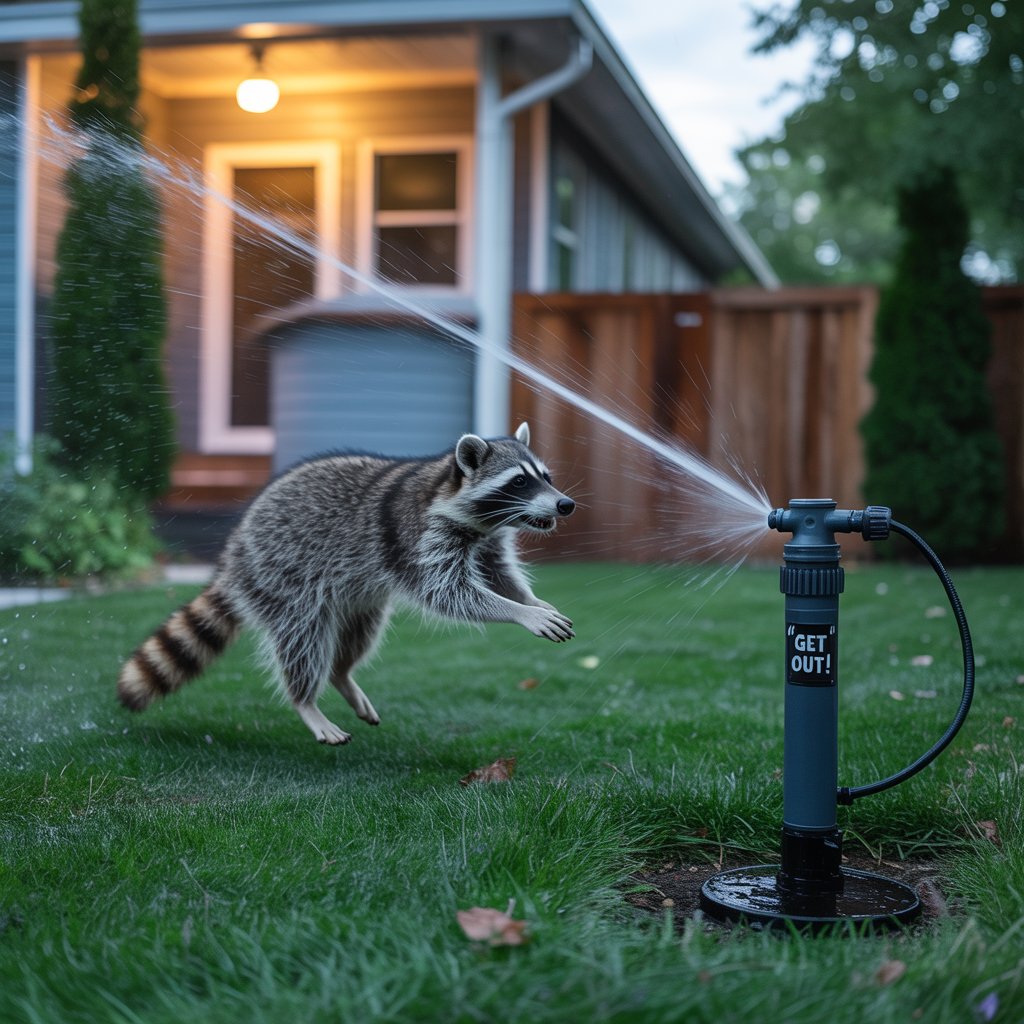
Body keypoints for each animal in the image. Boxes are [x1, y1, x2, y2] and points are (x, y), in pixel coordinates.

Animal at [117, 423, 575, 745]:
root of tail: (233, 559)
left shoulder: (487, 540)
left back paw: (341, 675)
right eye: (519, 481)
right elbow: (448, 593)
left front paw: (530, 599)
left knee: (357, 634)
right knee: (303, 638)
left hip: (357, 598)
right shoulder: (418, 536)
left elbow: (499, 573)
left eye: (546, 476)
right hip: (281, 576)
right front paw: (521, 612)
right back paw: (306, 702)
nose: (565, 505)